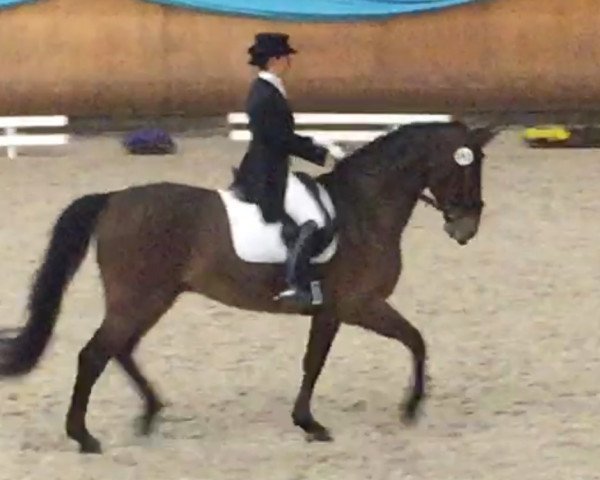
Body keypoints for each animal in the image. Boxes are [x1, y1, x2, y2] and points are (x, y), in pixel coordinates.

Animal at [0, 120, 496, 454]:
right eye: (465, 168)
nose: (467, 228)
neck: (364, 209)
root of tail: (113, 199)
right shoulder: (357, 305)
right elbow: (411, 341)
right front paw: (406, 408)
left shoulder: (333, 310)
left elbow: (316, 362)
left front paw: (308, 422)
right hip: (138, 298)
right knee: (95, 354)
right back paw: (84, 437)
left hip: (154, 298)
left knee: (119, 350)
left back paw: (149, 414)